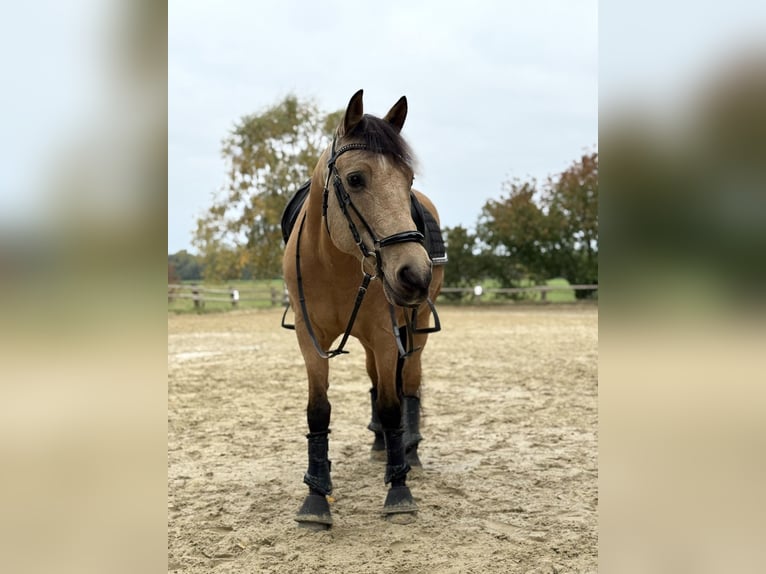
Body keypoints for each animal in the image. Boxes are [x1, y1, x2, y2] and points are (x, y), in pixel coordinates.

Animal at [281, 89, 446, 529]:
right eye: (356, 179)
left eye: (408, 180)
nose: (414, 274)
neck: (334, 261)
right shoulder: (309, 337)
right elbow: (318, 411)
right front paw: (316, 497)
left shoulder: (386, 334)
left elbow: (391, 405)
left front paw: (399, 490)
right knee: (376, 380)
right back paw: (378, 445)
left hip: (415, 328)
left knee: (409, 385)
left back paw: (409, 450)